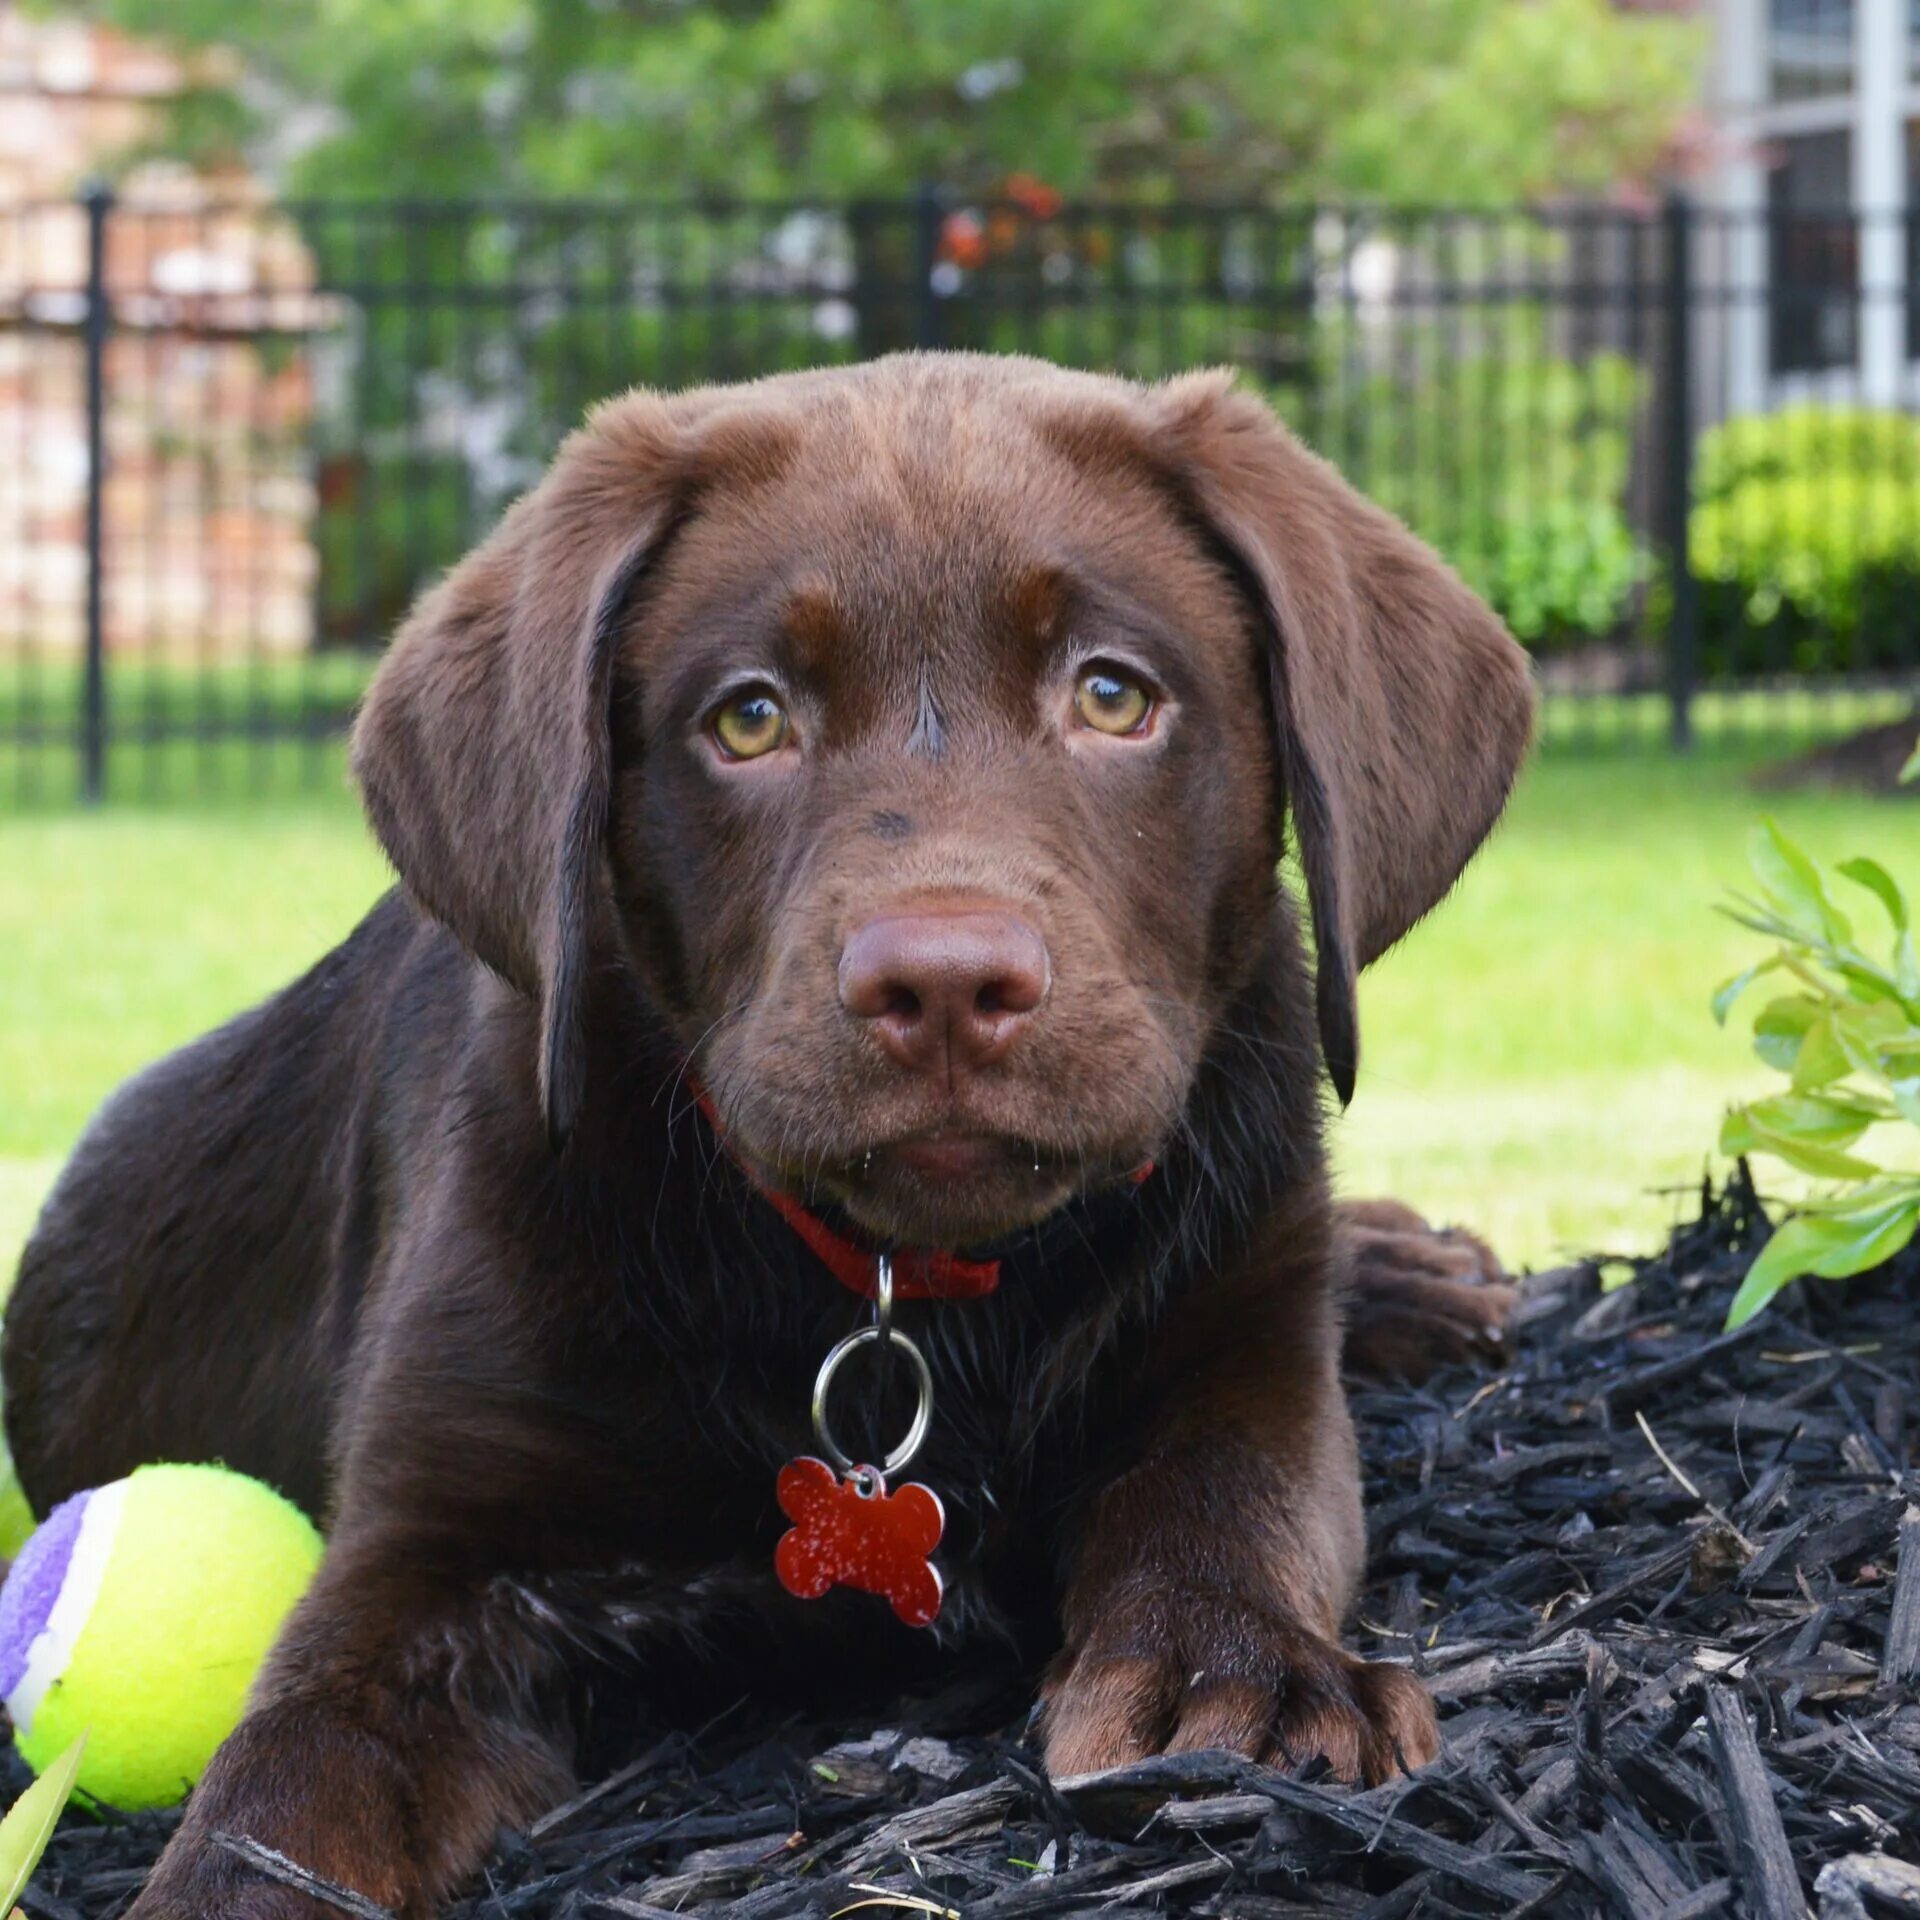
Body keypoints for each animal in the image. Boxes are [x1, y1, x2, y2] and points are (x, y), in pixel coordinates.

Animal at [0, 353, 1528, 1912]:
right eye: (747, 720)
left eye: (1114, 695)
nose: (945, 986)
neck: (910, 1296)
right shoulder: (429, 1545)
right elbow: (295, 1766)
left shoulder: (1244, 1346)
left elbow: (1228, 1501)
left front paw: (1245, 1681)